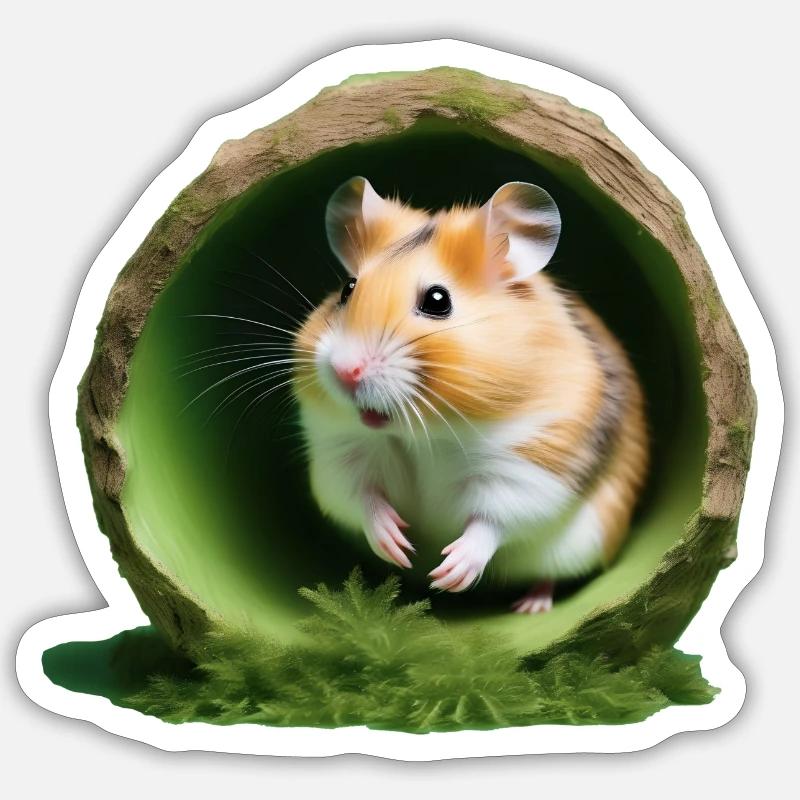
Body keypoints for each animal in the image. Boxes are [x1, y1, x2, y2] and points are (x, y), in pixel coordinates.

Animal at [292, 176, 649, 613]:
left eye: (437, 301)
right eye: (347, 288)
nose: (346, 371)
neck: (425, 435)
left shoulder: (531, 464)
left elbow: (492, 520)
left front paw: (449, 573)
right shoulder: (340, 453)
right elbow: (361, 496)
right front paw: (399, 545)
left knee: (546, 573)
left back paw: (530, 606)